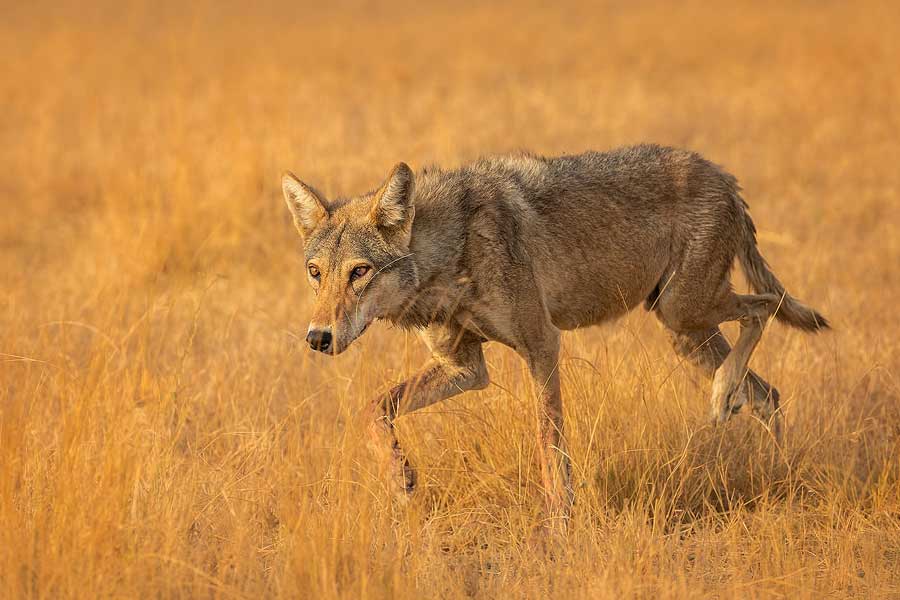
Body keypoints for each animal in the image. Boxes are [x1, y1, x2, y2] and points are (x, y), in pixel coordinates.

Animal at [281, 144, 829, 524]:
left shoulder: (541, 345)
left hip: (684, 311)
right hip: (684, 329)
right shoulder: (465, 369)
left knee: (767, 307)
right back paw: (778, 474)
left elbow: (549, 443)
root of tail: (724, 176)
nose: (318, 337)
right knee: (769, 394)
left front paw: (559, 526)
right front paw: (401, 476)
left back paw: (725, 396)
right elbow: (373, 409)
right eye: (315, 273)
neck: (451, 251)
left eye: (359, 272)